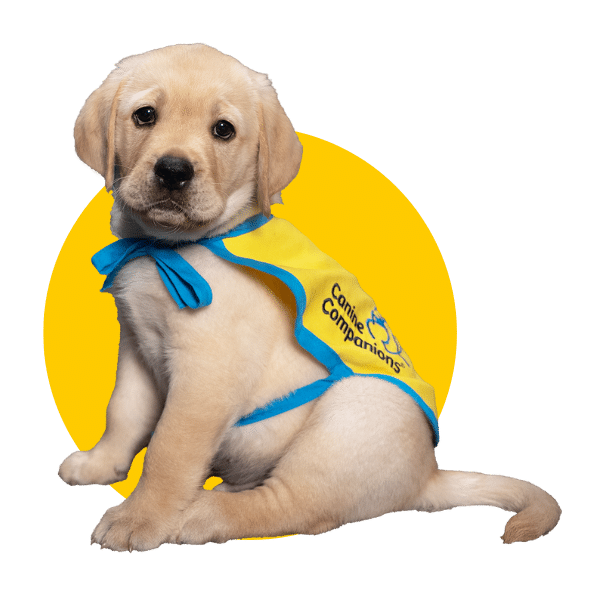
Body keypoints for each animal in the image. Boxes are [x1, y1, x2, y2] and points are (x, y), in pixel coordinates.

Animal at [58, 43, 560, 552]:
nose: (173, 171)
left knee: (295, 506)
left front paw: (141, 517)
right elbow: (122, 411)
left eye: (223, 130)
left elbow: (168, 449)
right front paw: (100, 463)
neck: (164, 248)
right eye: (144, 116)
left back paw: (204, 513)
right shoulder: (137, 344)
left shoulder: (207, 374)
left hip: (353, 415)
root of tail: (426, 477)